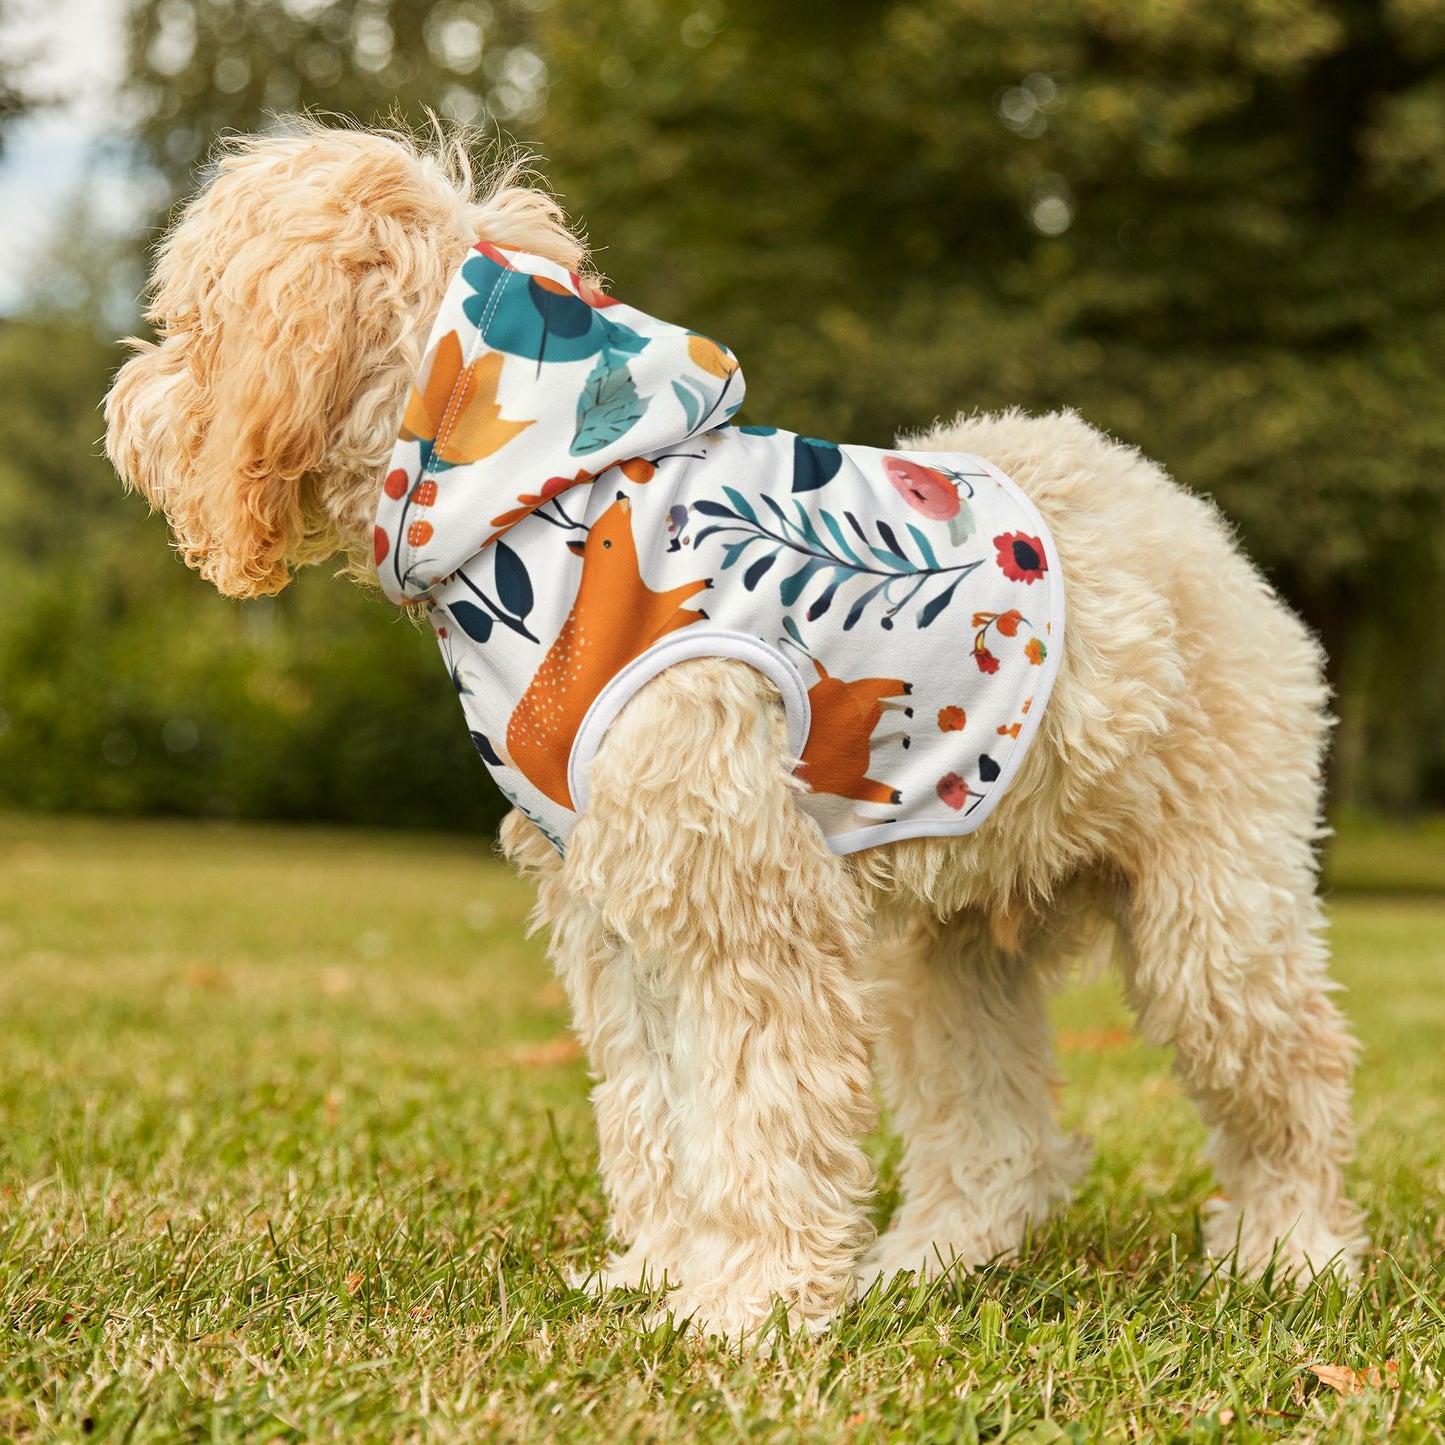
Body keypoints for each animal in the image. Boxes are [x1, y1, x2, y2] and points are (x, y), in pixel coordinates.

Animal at [106, 127, 1358, 1340]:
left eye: (191, 324)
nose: (123, 404)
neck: (540, 504)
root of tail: (1185, 517)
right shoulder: (617, 913)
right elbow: (655, 1110)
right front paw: (661, 1273)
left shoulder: (746, 906)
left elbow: (759, 1111)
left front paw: (746, 1305)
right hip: (949, 949)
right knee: (996, 1133)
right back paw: (930, 1260)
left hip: (1212, 914)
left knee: (1292, 1074)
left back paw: (1290, 1252)